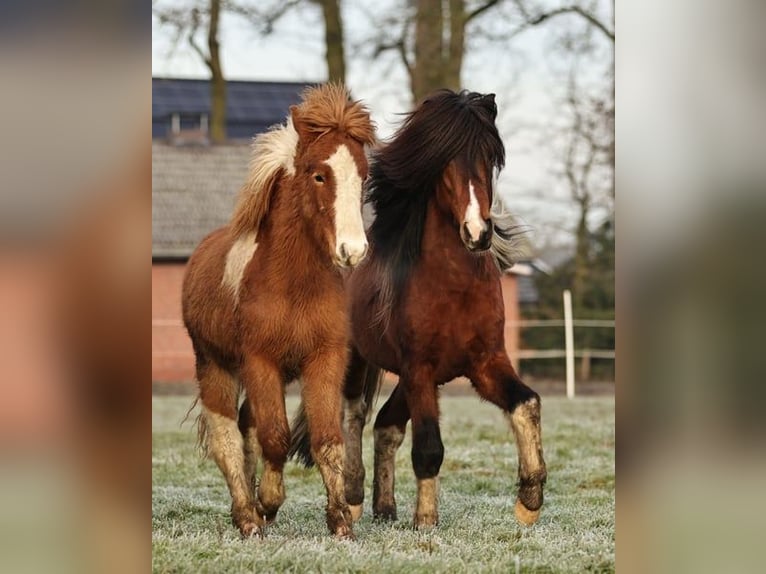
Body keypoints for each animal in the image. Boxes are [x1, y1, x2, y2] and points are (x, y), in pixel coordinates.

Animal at [181, 84, 376, 539]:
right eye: (318, 174)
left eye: (363, 175)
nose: (353, 250)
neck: (292, 285)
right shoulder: (260, 362)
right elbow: (275, 437)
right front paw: (267, 504)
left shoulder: (324, 359)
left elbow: (326, 439)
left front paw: (340, 521)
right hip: (215, 365)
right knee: (227, 436)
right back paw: (247, 516)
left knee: (246, 428)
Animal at [289, 89, 547, 529]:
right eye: (444, 161)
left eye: (490, 157)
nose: (478, 233)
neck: (454, 288)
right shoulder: (419, 367)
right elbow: (429, 446)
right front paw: (425, 520)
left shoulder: (483, 363)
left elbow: (526, 403)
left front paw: (529, 499)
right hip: (363, 361)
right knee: (355, 414)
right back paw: (354, 498)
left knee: (387, 424)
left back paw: (385, 507)